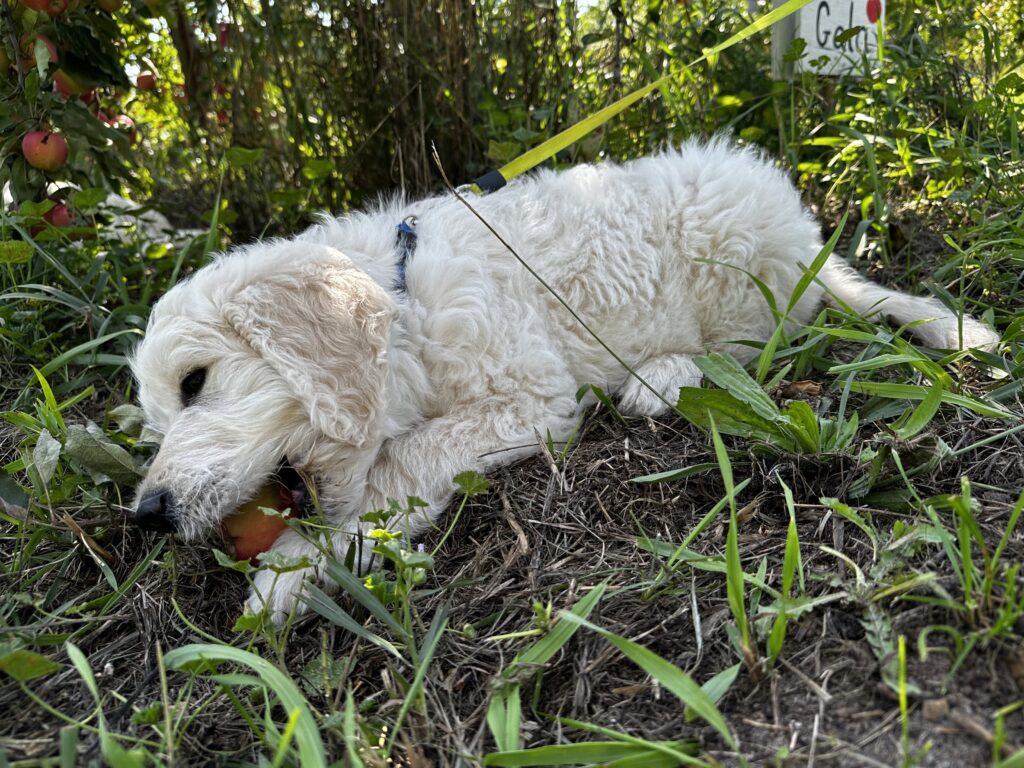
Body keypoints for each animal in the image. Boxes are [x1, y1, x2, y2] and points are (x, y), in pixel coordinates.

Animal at [129, 140, 999, 622]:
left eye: (196, 381)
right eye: (155, 421)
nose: (147, 516)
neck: (402, 294)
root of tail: (808, 239)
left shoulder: (530, 395)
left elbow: (403, 461)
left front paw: (293, 569)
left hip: (729, 265)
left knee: (755, 346)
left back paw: (661, 375)